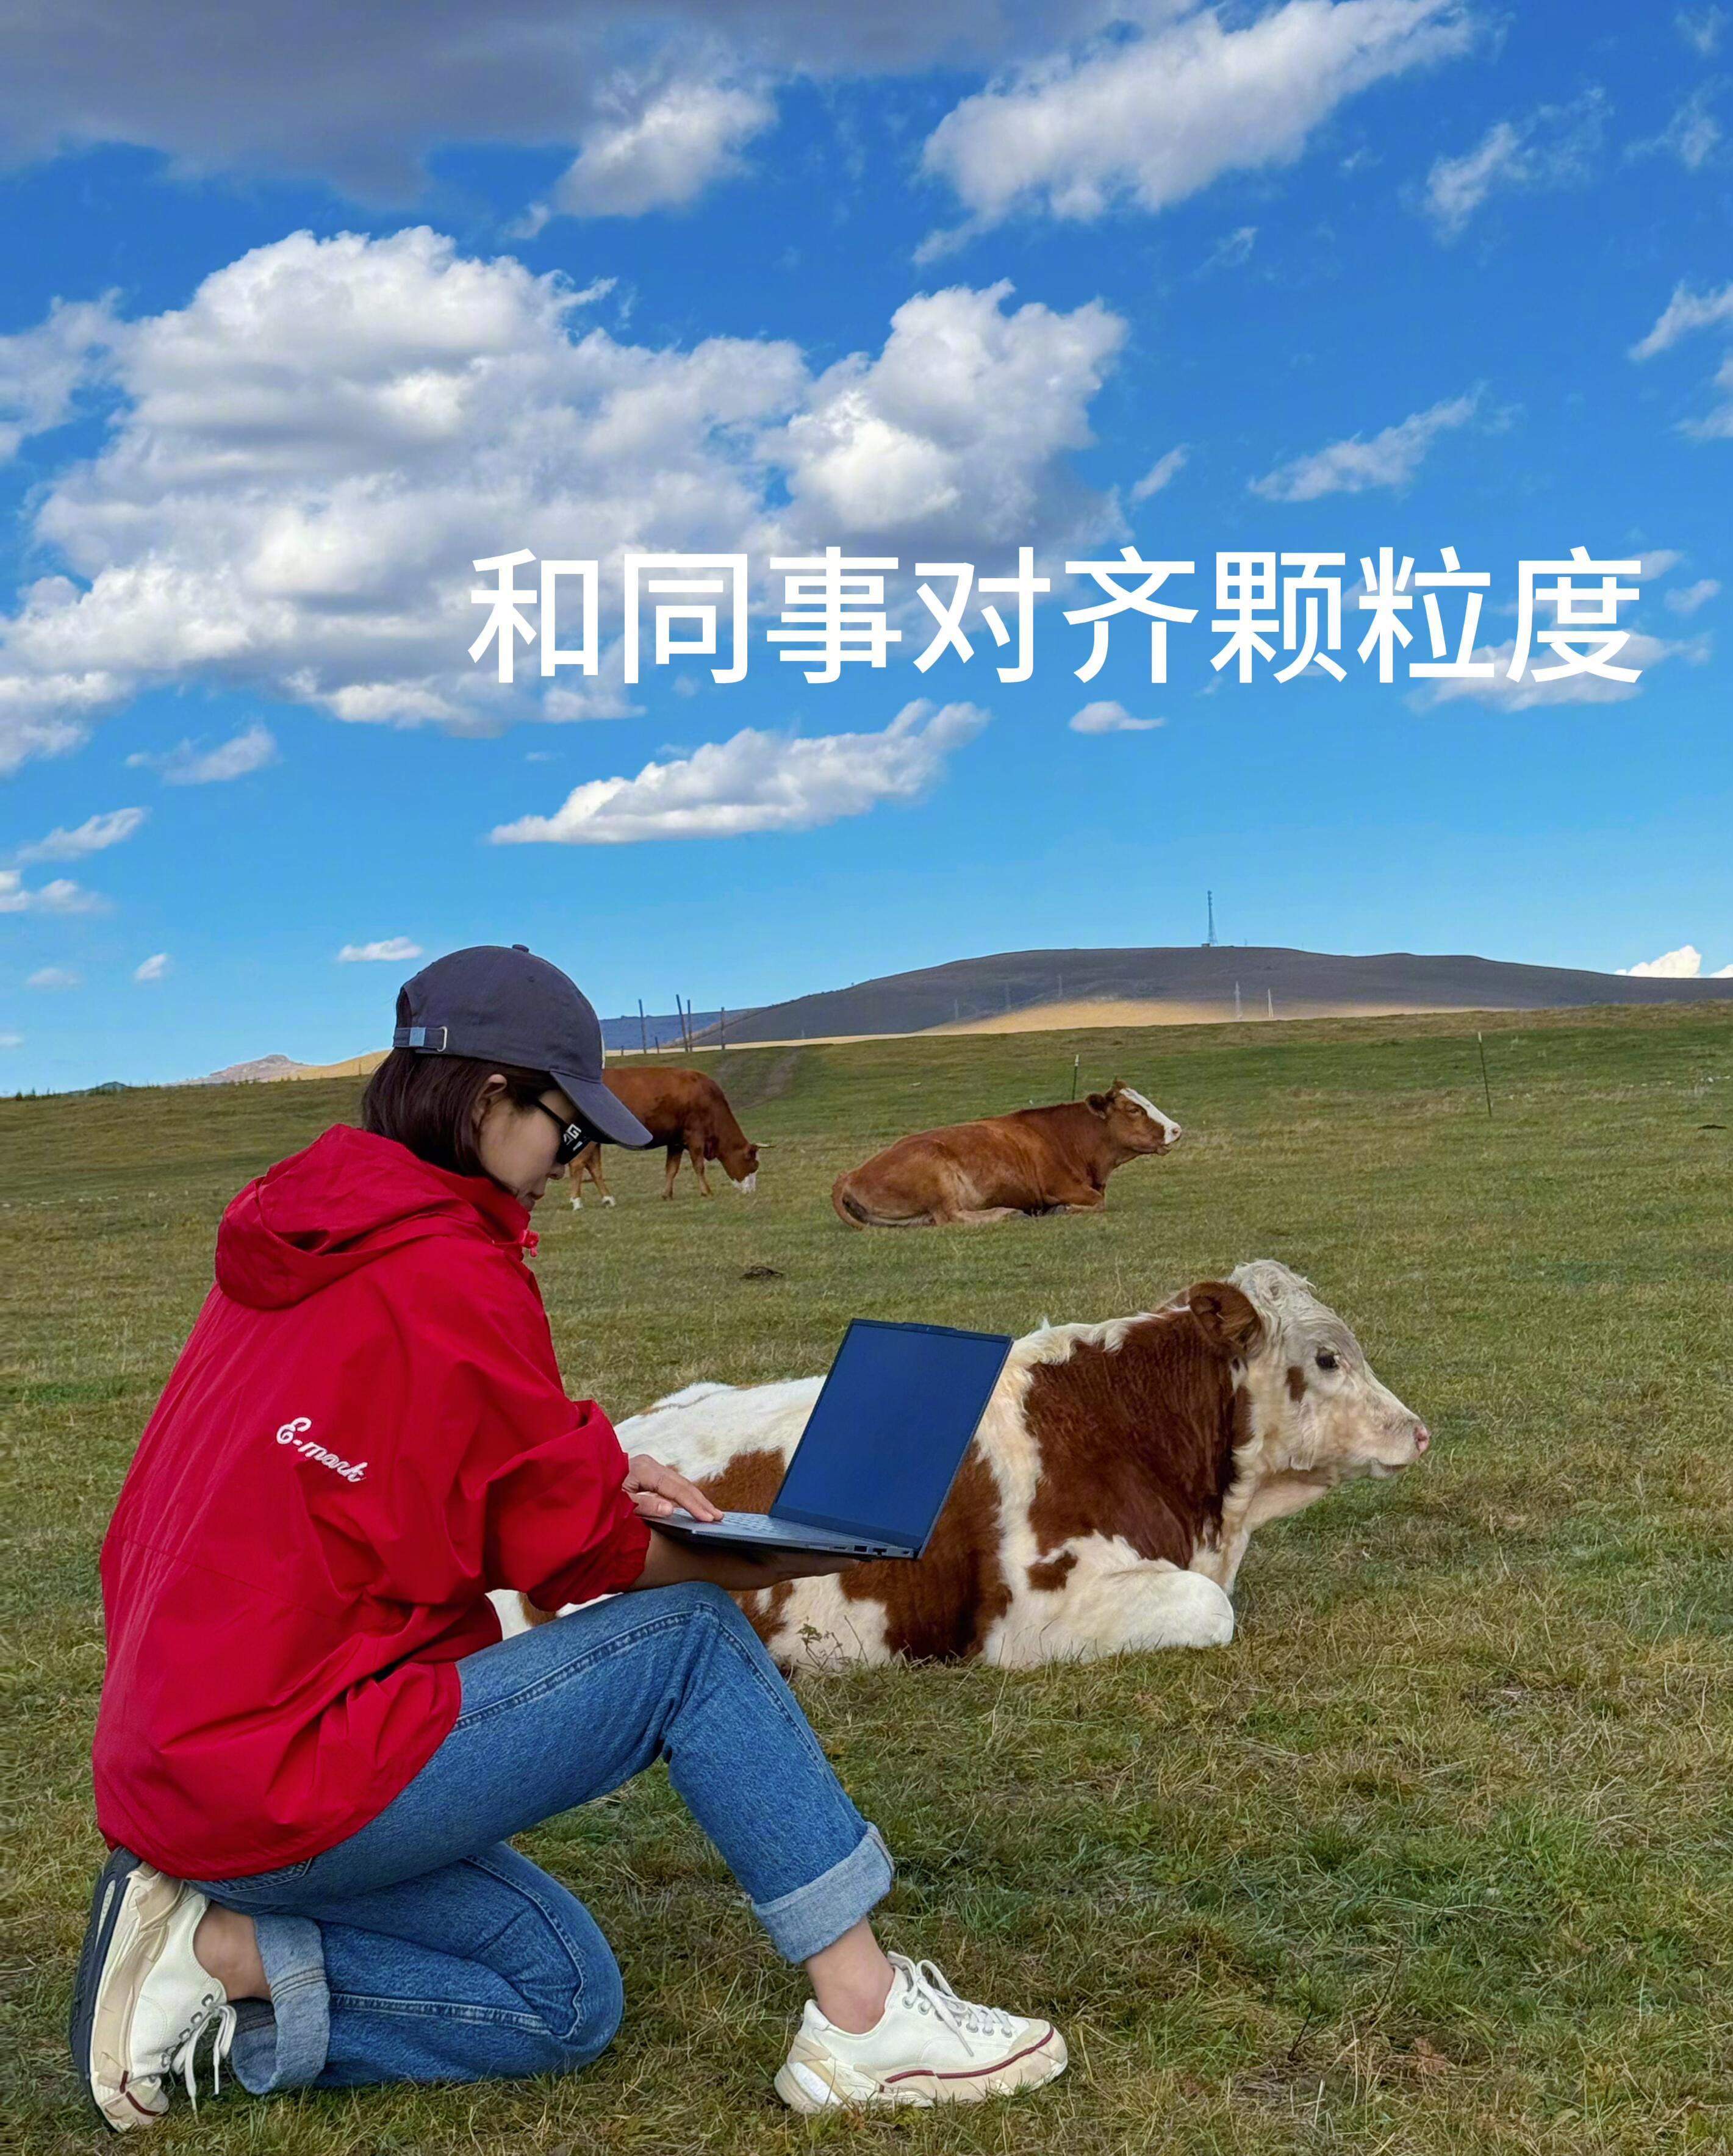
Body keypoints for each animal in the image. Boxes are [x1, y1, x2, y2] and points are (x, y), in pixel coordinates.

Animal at [570, 1065, 761, 1207]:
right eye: (753, 1165)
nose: (751, 1192)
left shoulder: (675, 1141)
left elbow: (672, 1169)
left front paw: (667, 1194)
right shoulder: (695, 1135)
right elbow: (699, 1166)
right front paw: (706, 1191)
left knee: (594, 1168)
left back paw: (608, 1199)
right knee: (578, 1164)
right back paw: (577, 1201)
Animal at [831, 1079, 1180, 1228]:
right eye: (1134, 1110)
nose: (1176, 1129)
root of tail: (851, 1174)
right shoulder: (1061, 1186)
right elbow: (1097, 1202)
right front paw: (1059, 1210)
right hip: (935, 1171)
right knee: (950, 1217)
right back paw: (1007, 1213)